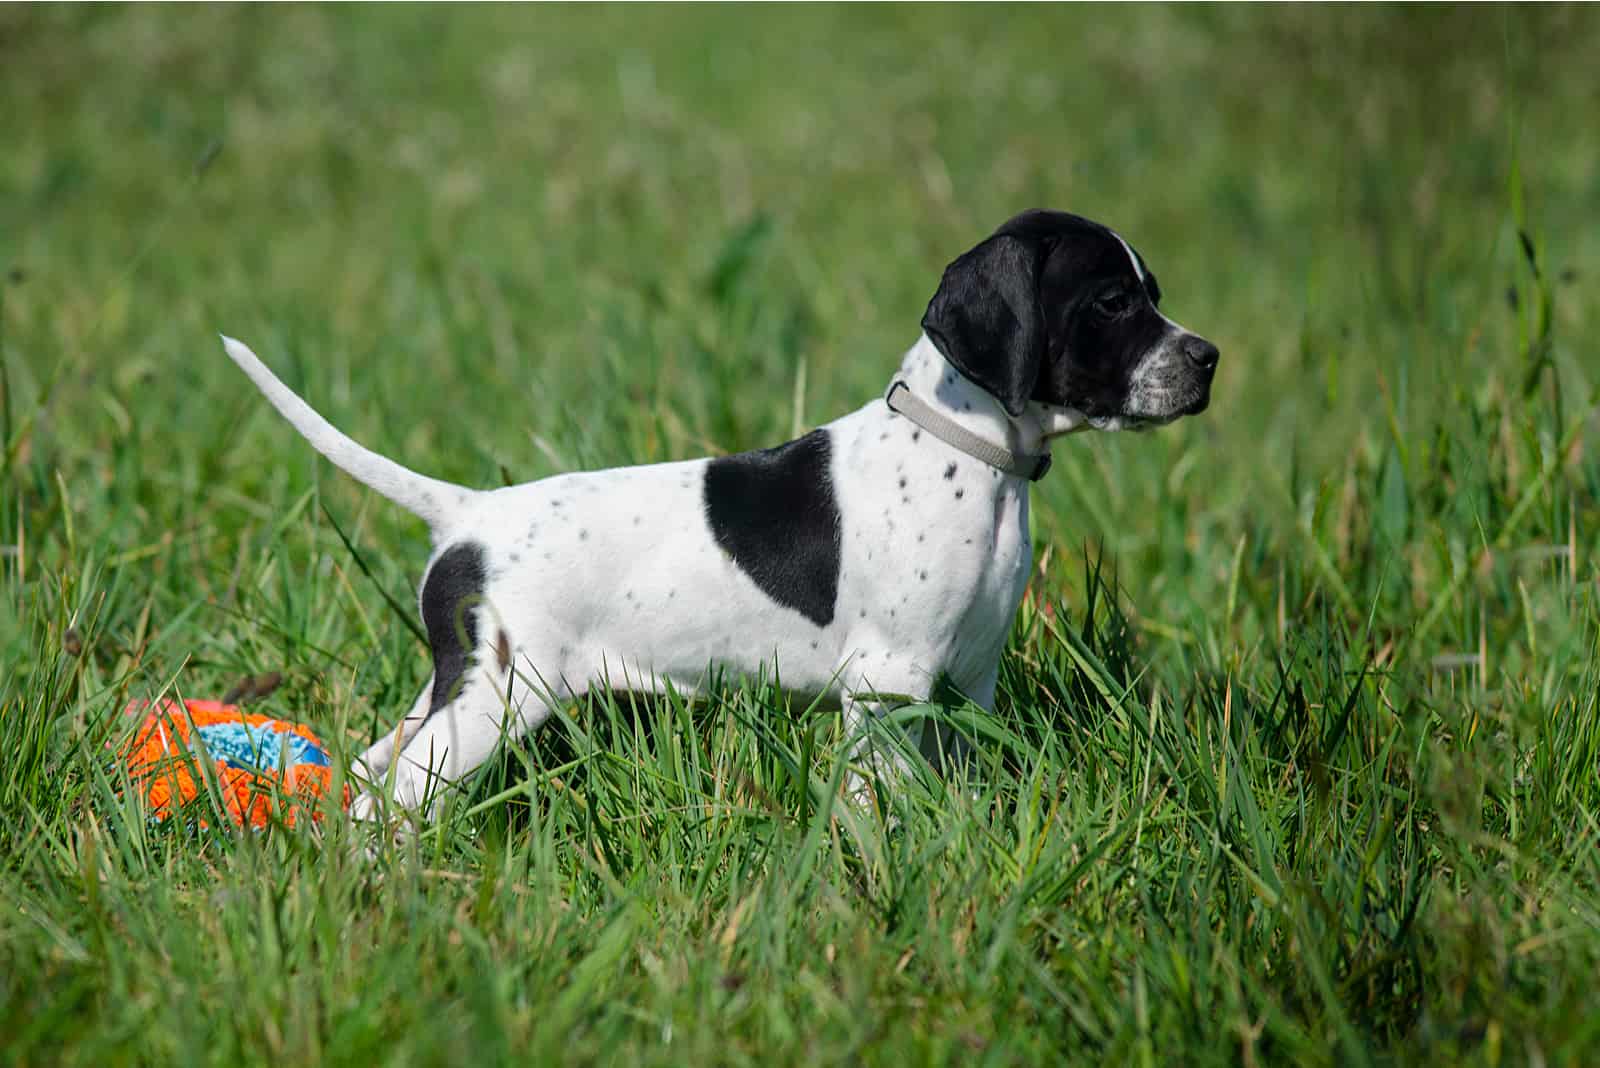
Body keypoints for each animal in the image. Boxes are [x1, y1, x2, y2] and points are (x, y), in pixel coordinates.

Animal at [219, 207, 1216, 818]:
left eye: (1156, 295)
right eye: (1113, 302)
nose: (1208, 358)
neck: (966, 451)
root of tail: (469, 514)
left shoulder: (967, 680)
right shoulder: (888, 686)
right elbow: (876, 801)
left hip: (454, 690)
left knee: (369, 767)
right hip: (497, 700)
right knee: (381, 801)